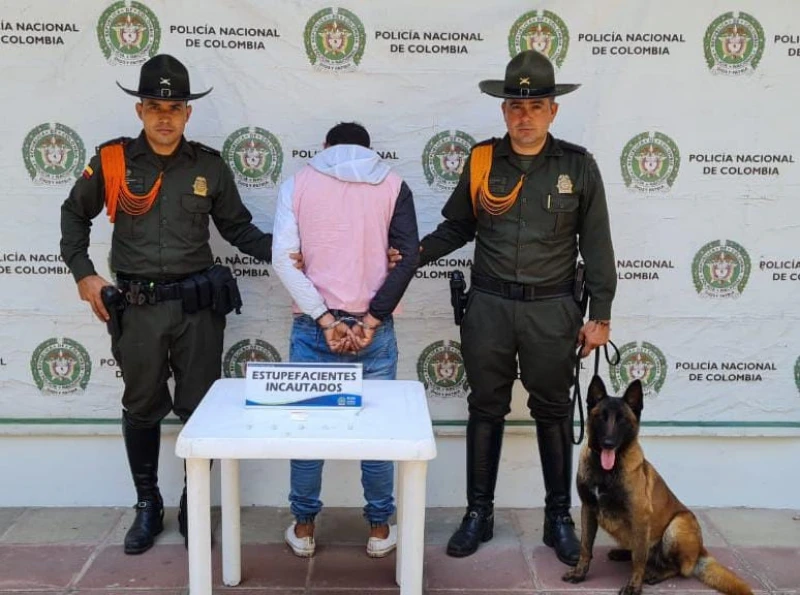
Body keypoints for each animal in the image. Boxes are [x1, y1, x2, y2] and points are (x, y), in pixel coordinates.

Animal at [560, 380, 752, 592]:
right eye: (601, 417)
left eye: (622, 420)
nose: (608, 443)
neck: (606, 472)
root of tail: (700, 551)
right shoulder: (588, 509)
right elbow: (586, 547)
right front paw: (579, 573)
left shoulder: (640, 516)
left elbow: (638, 559)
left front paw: (634, 586)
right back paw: (623, 554)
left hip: (676, 526)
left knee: (677, 568)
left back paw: (653, 574)